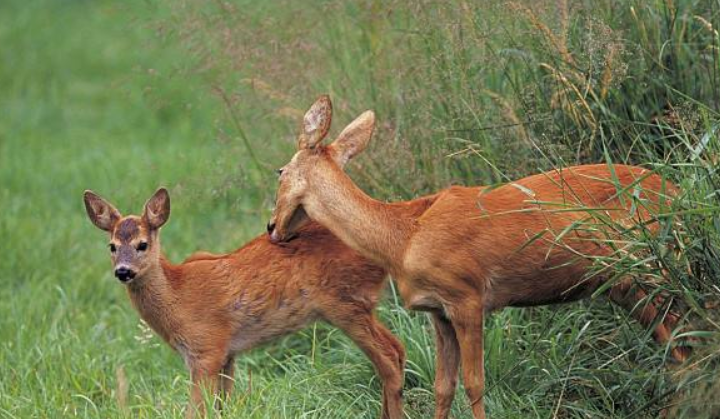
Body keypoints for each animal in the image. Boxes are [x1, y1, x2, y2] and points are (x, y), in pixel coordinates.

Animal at [84, 189, 436, 418]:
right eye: (111, 246)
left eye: (142, 244)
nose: (123, 271)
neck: (178, 296)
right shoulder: (227, 354)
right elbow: (221, 408)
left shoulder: (206, 349)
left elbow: (196, 410)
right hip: (361, 304)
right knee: (398, 349)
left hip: (344, 302)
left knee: (387, 357)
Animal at [268, 96, 688, 419]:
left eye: (280, 170)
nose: (272, 227)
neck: (402, 236)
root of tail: (676, 192)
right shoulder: (438, 312)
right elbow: (443, 386)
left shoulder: (466, 296)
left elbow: (475, 383)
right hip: (629, 285)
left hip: (645, 272)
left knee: (681, 349)